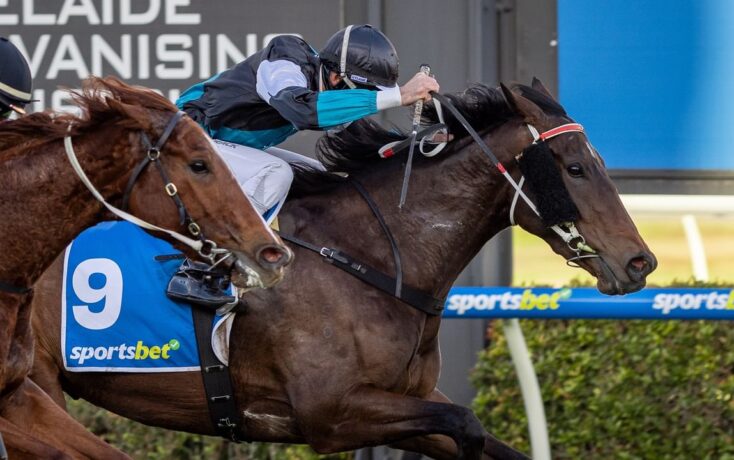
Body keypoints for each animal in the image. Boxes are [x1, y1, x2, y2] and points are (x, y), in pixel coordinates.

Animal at [30, 79, 656, 459]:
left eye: (596, 161)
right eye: (574, 168)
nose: (640, 262)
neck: (373, 259)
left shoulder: (408, 401)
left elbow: (487, 439)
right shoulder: (330, 413)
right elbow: (468, 427)